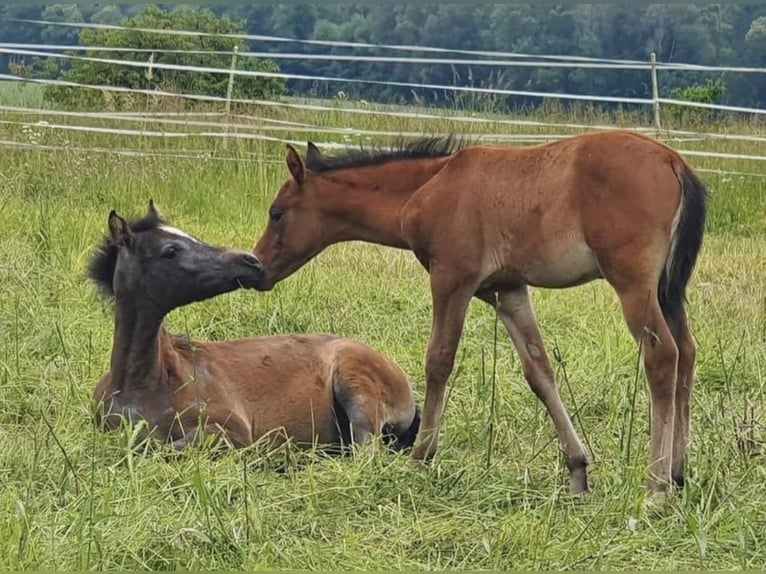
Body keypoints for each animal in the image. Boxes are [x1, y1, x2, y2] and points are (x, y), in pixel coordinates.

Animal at [94, 201, 426, 454]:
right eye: (170, 251)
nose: (250, 261)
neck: (143, 383)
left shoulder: (233, 430)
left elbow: (159, 447)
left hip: (356, 387)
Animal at [255, 132, 712, 500]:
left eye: (276, 213)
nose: (257, 268)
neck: (429, 186)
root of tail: (674, 161)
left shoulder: (452, 278)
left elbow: (439, 360)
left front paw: (420, 457)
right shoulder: (506, 290)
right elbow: (539, 371)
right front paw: (578, 473)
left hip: (633, 284)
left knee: (662, 357)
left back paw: (655, 487)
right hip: (668, 292)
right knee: (687, 354)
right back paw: (678, 473)